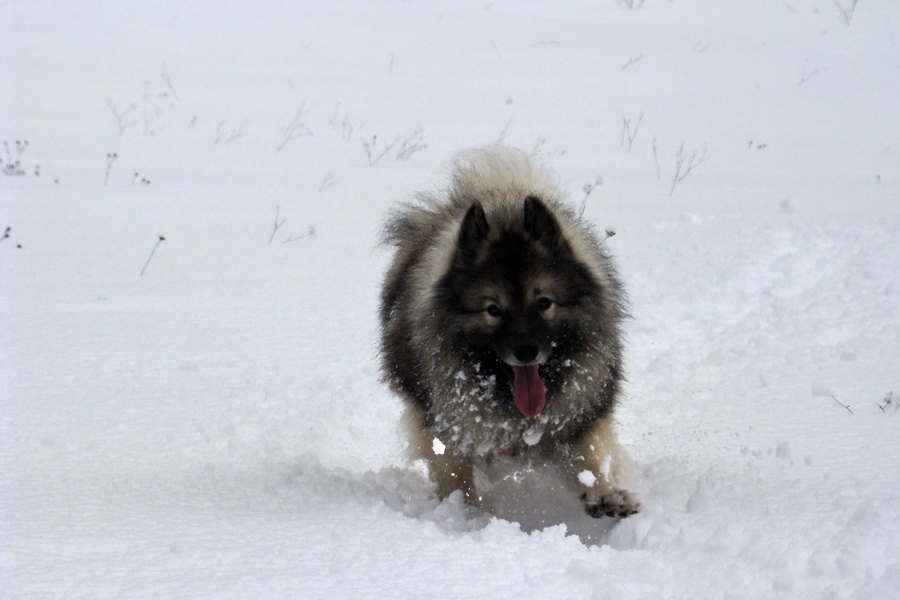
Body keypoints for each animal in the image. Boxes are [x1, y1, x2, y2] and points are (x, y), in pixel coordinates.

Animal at [380, 148, 640, 516]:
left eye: (544, 302)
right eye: (493, 309)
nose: (526, 351)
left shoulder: (582, 408)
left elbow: (591, 453)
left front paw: (606, 493)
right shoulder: (442, 423)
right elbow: (454, 473)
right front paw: (465, 513)